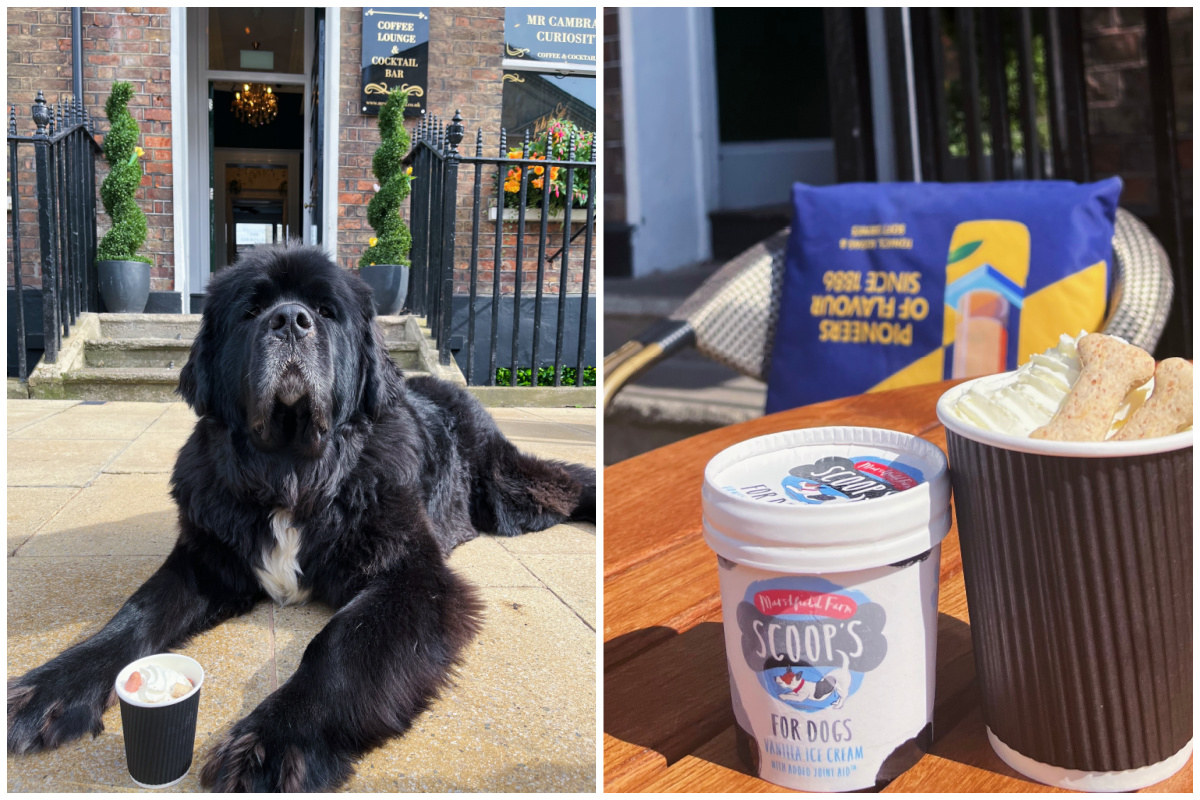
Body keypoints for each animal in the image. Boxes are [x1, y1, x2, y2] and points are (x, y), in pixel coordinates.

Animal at [3, 242, 595, 786]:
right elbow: (136, 611)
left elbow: (339, 647)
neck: (290, 474)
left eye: (327, 310)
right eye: (250, 310)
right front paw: (51, 685)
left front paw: (274, 739)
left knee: (563, 482)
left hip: (508, 491)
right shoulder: (208, 558)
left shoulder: (411, 574)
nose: (289, 320)